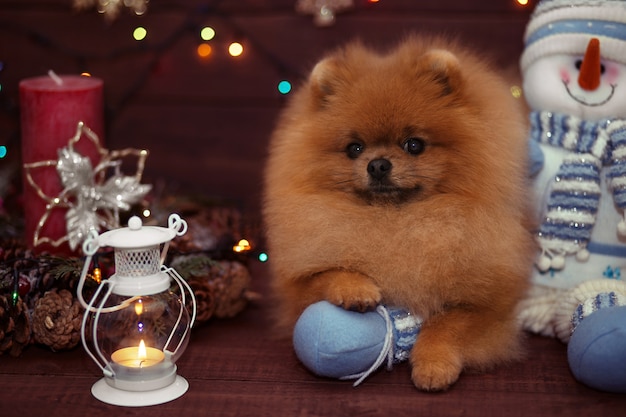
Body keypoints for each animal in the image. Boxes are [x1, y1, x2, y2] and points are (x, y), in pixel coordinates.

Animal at [262, 35, 532, 390]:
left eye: (414, 145)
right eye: (354, 148)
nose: (378, 164)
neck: (395, 222)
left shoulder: (489, 305)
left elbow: (447, 322)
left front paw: (433, 364)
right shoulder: (297, 289)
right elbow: (327, 273)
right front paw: (355, 288)